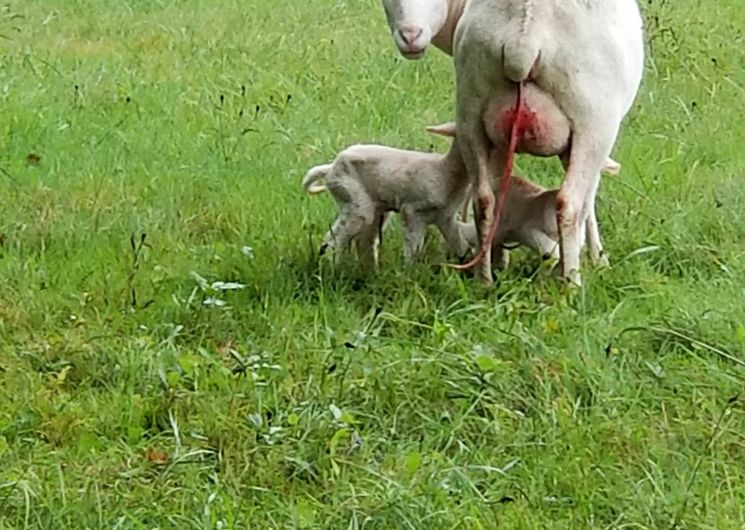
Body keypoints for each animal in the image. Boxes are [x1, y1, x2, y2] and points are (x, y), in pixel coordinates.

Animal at [380, 0, 644, 284]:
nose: (410, 35)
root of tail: (524, 36)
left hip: (473, 108)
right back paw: (571, 283)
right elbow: (590, 197)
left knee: (484, 199)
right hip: (593, 118)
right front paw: (598, 258)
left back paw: (484, 279)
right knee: (570, 203)